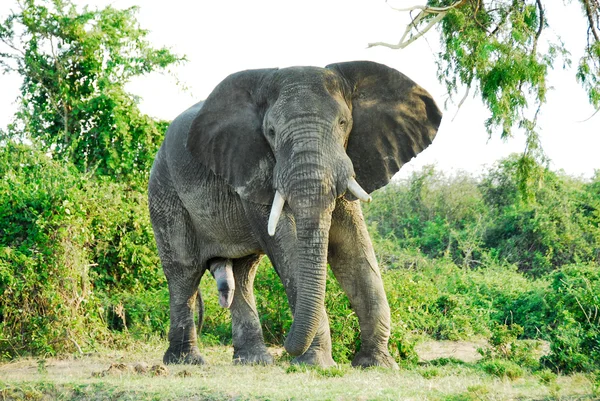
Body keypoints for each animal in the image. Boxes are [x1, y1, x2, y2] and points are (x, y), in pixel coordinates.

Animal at [148, 60, 442, 368]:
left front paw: (376, 364)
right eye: (271, 132)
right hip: (164, 190)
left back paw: (255, 361)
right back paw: (186, 362)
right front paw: (316, 364)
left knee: (243, 273)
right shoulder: (256, 168)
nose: (287, 348)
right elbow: (287, 245)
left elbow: (353, 248)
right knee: (184, 271)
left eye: (343, 123)